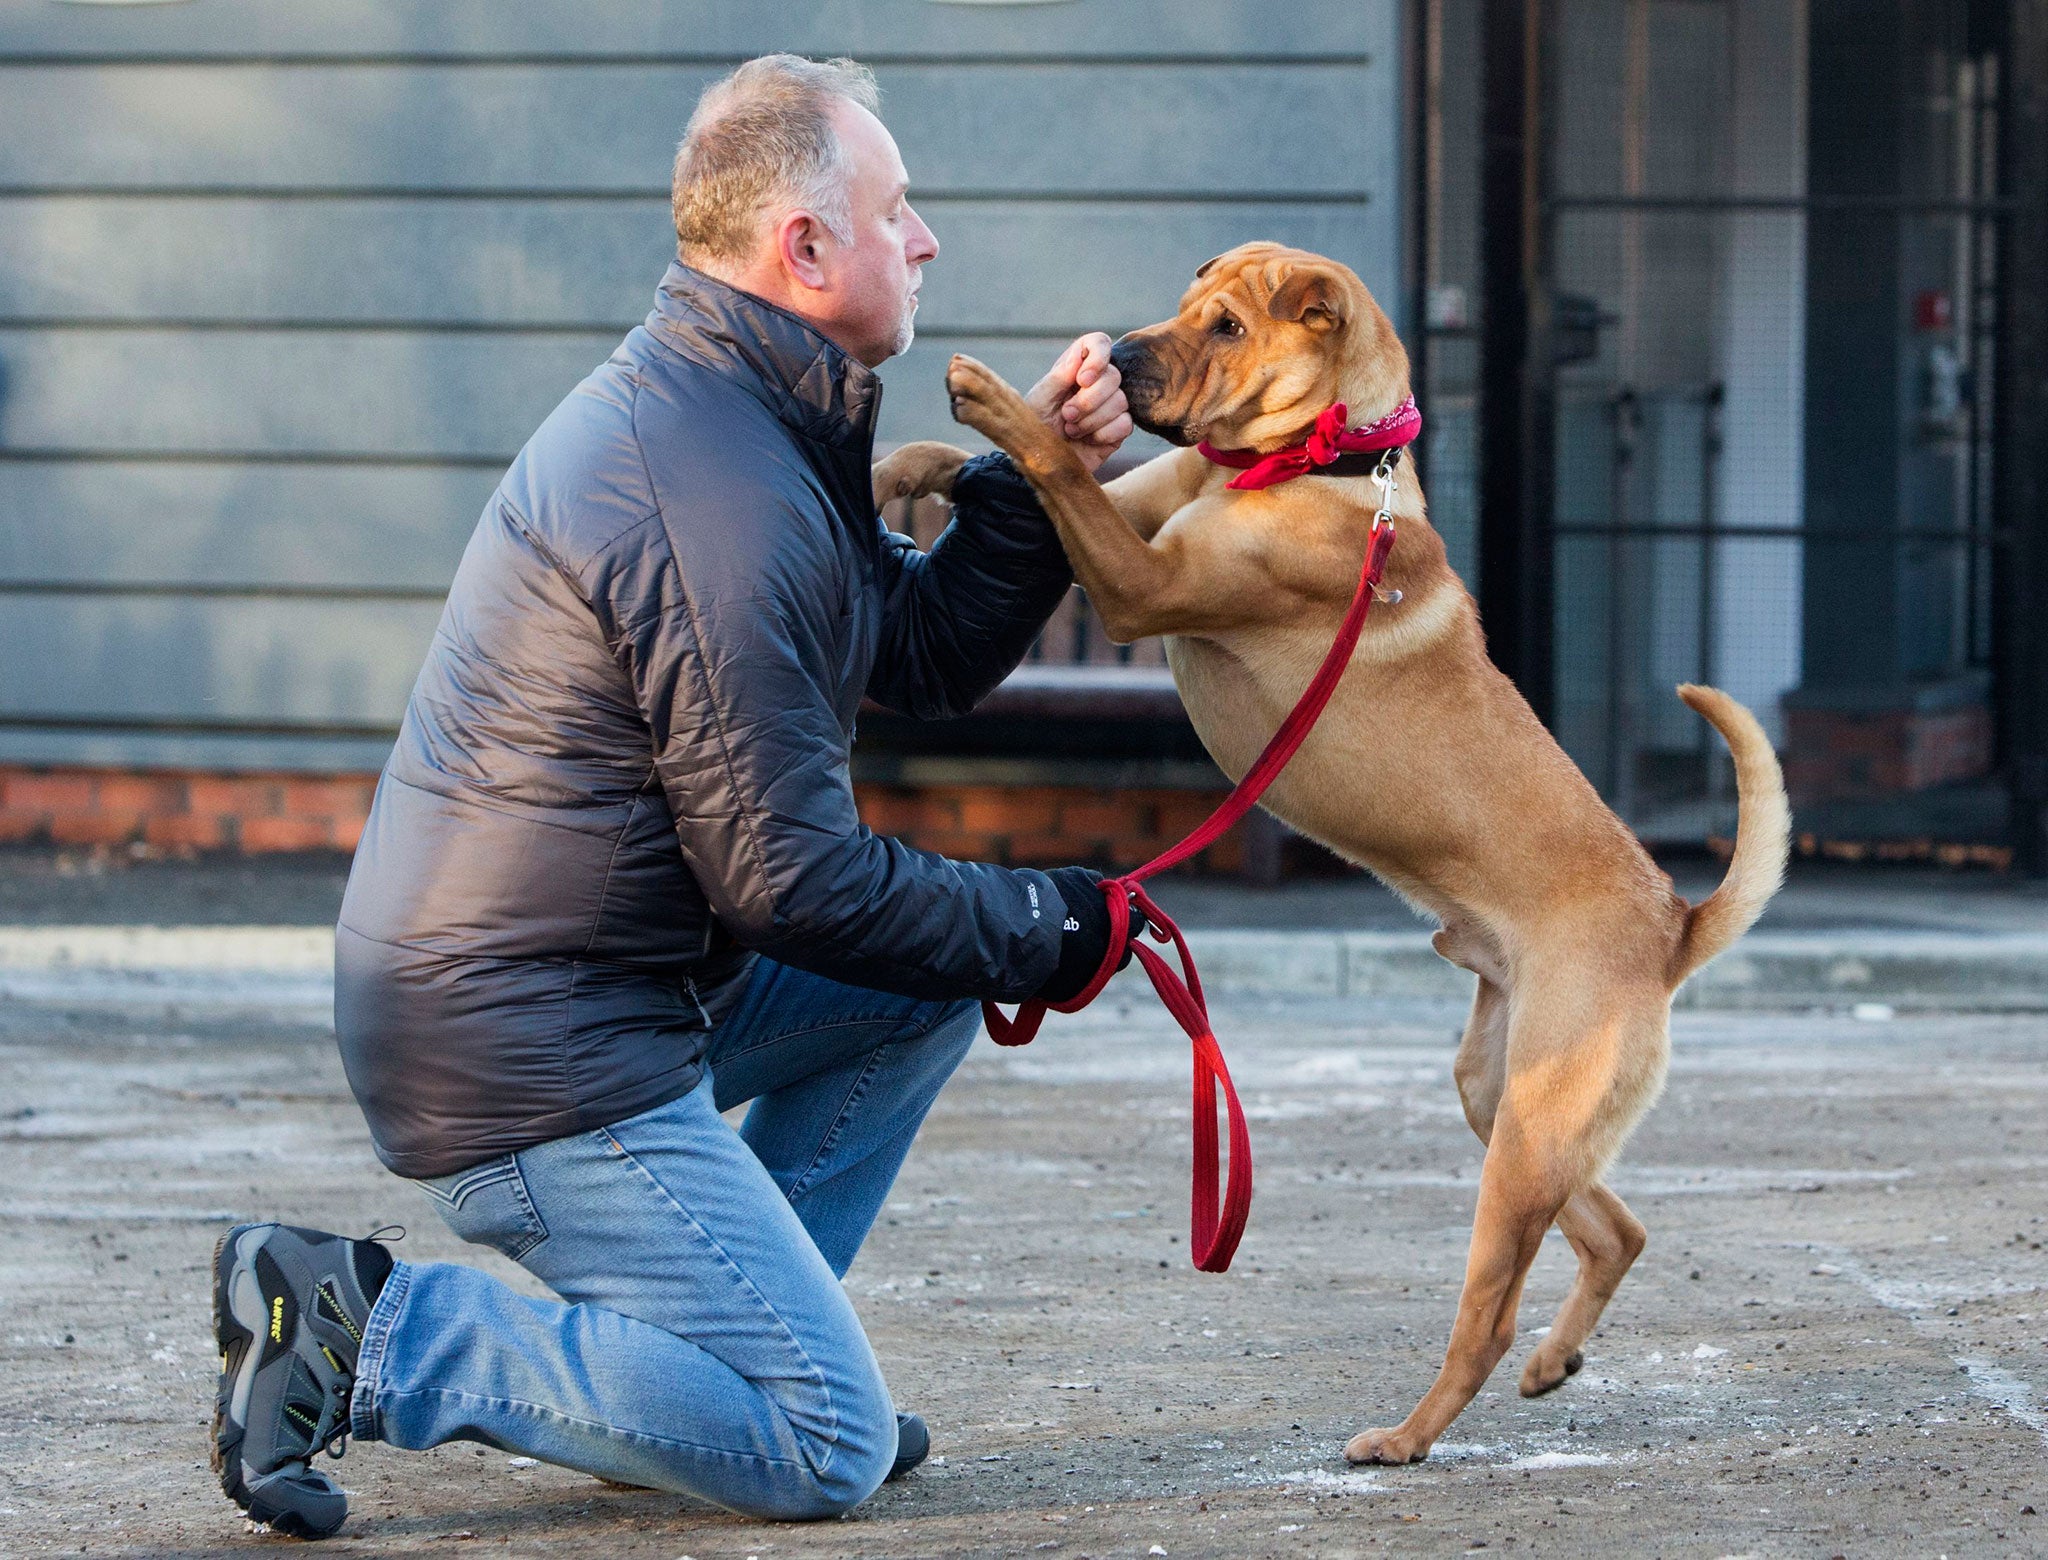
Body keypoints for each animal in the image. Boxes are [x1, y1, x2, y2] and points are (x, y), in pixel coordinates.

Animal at [872, 240, 1785, 1457]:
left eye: (1225, 328)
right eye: (1183, 304)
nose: (1120, 354)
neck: (1319, 464)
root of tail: (1673, 924)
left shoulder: (1142, 583)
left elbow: (1047, 462)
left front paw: (991, 395)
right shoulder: (1136, 519)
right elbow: (1016, 475)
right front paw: (900, 463)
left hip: (1527, 1132)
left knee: (1486, 1314)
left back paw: (1406, 1436)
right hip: (1497, 1099)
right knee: (1615, 1230)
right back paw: (1553, 1361)